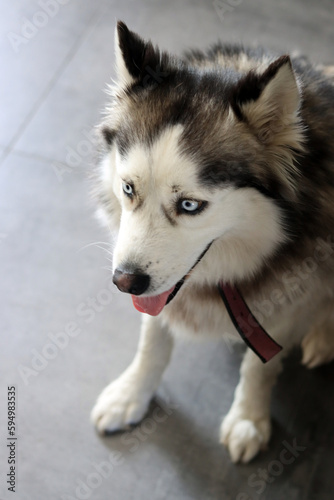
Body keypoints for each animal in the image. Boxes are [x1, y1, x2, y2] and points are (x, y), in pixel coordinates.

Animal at [90, 21, 334, 462]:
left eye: (190, 205)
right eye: (128, 188)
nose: (123, 282)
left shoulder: (289, 295)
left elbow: (259, 367)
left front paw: (248, 419)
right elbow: (152, 340)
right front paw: (131, 394)